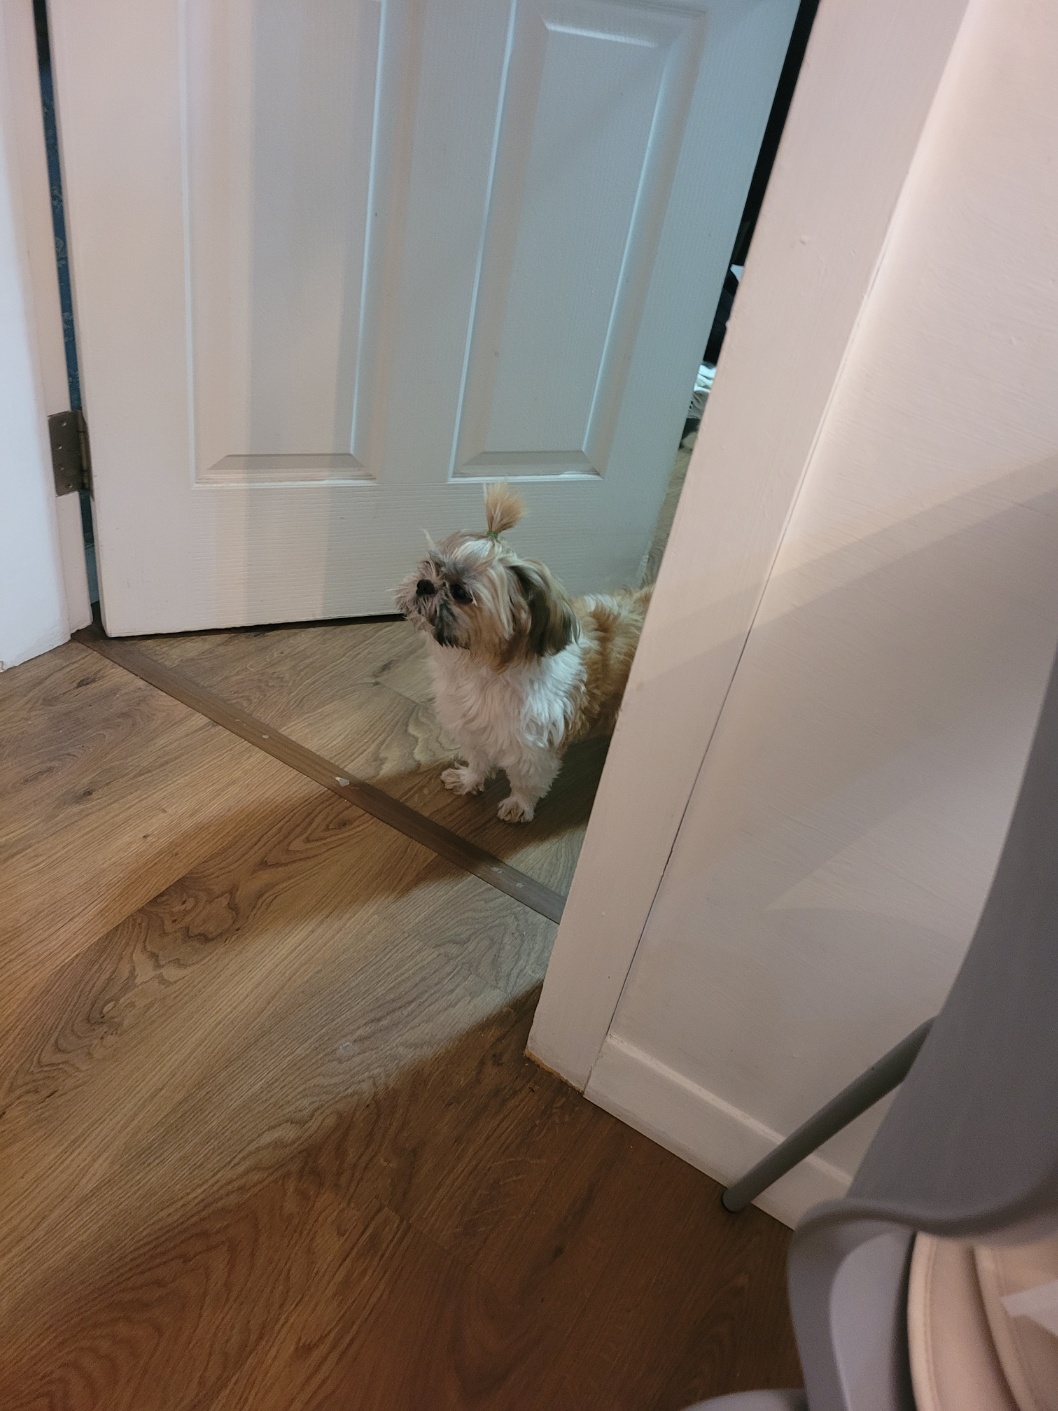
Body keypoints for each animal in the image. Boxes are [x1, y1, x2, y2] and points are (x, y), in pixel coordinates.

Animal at [395, 484, 651, 822]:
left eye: (461, 592)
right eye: (430, 566)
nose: (424, 584)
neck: (477, 666)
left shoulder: (531, 747)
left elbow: (526, 780)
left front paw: (518, 805)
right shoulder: (471, 727)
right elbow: (478, 759)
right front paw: (469, 780)